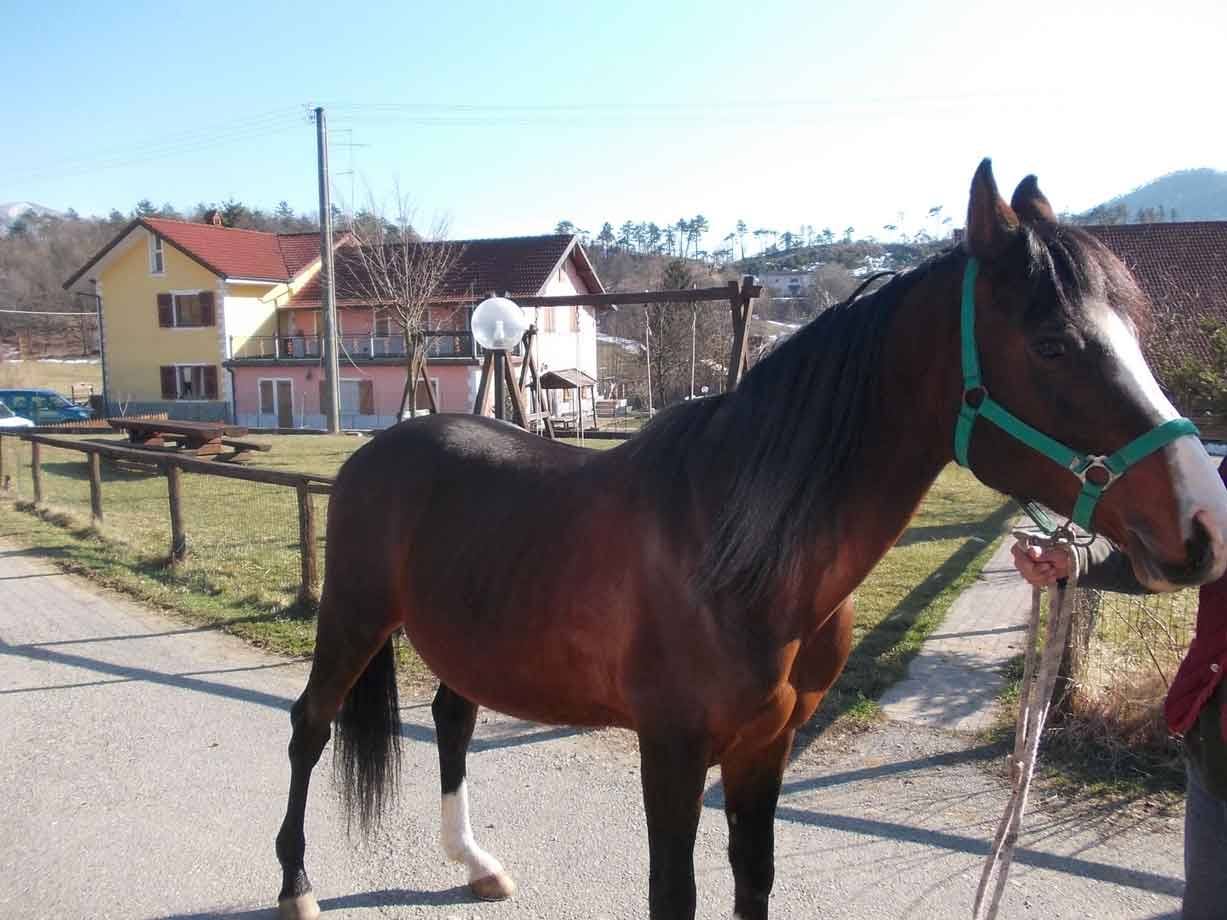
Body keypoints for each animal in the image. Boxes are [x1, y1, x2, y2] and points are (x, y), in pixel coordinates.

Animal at [275, 160, 1227, 920]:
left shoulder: (766, 749)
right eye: (1054, 343)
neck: (739, 554)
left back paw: (472, 863)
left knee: (452, 720)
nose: (1203, 523)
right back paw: (297, 885)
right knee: (310, 726)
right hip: (353, 621)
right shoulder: (670, 752)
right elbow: (675, 894)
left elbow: (753, 879)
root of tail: (377, 451)